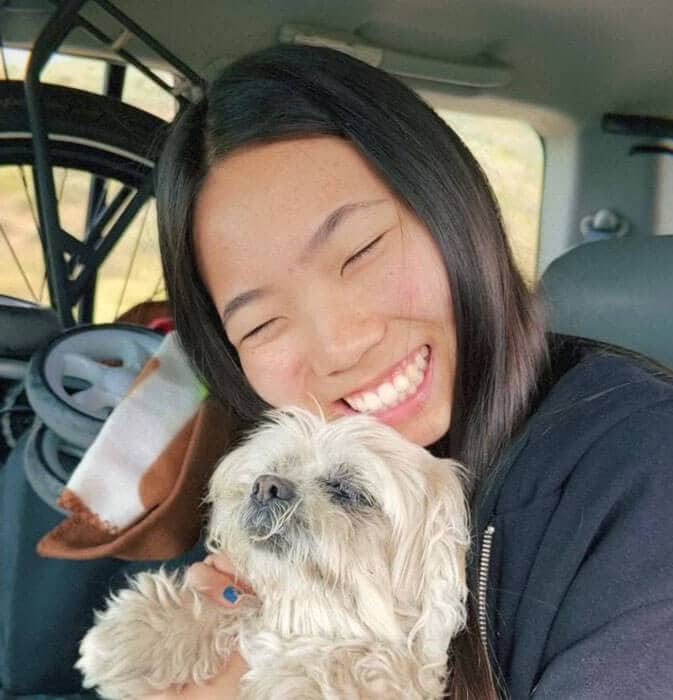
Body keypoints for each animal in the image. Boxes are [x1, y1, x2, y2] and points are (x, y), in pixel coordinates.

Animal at [77, 408, 468, 696]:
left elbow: (360, 664)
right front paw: (142, 633)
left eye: (347, 490)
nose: (266, 486)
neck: (310, 622)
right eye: (275, 469)